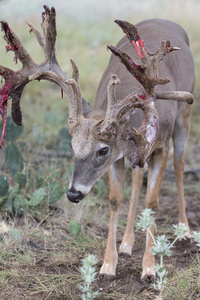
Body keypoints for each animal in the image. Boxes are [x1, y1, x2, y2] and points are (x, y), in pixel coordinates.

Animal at [0, 5, 194, 282]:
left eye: (102, 149)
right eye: (72, 146)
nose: (73, 193)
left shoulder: (158, 145)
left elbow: (152, 202)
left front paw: (149, 268)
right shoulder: (121, 155)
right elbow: (115, 199)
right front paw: (108, 265)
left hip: (183, 120)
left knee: (179, 164)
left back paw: (185, 230)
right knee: (137, 176)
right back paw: (126, 243)